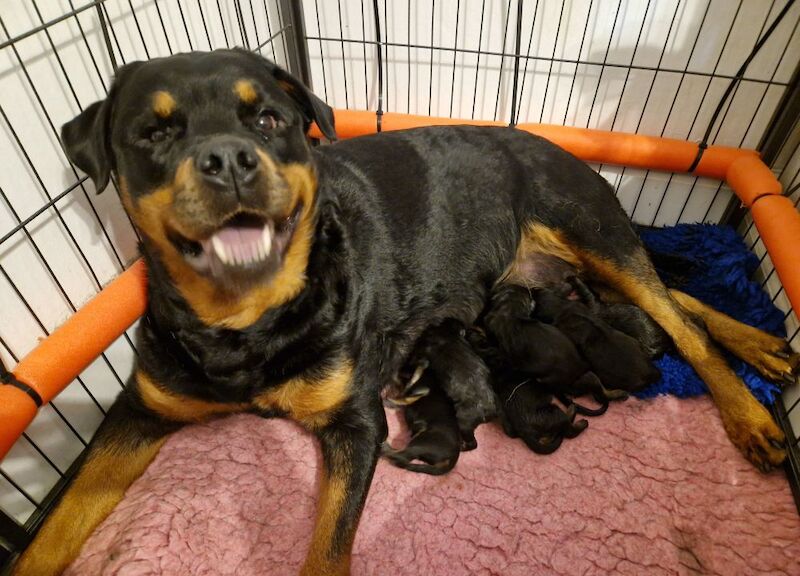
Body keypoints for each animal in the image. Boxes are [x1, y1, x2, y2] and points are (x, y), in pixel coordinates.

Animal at [14, 47, 800, 572]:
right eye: (154, 133)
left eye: (267, 118)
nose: (230, 159)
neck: (247, 321)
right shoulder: (139, 411)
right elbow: (54, 529)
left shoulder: (355, 423)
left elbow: (329, 548)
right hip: (578, 267)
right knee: (674, 300)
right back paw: (761, 344)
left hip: (587, 225)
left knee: (678, 318)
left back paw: (752, 412)